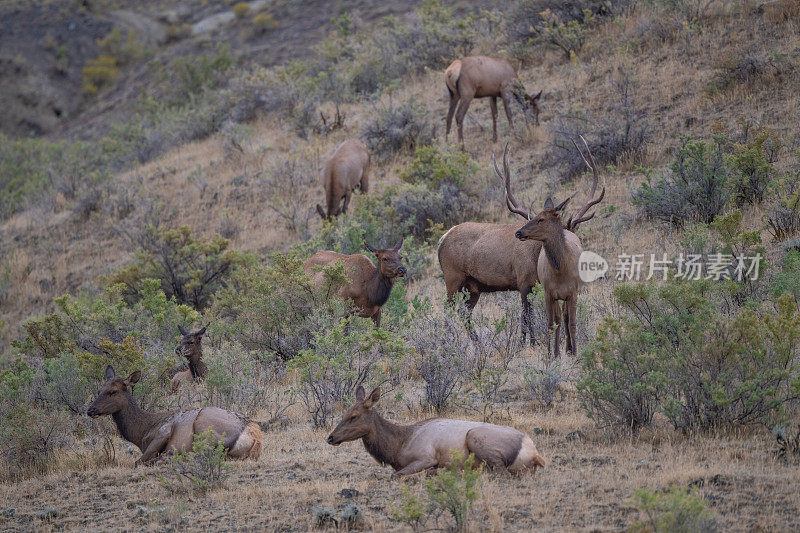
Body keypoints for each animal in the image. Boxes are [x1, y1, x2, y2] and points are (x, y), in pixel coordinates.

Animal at [88, 364, 264, 464]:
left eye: (113, 391)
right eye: (98, 390)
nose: (90, 410)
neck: (141, 431)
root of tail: (255, 437)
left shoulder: (164, 431)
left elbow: (138, 461)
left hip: (204, 425)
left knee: (202, 454)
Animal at [328, 384, 548, 476]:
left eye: (353, 416)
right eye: (343, 413)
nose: (330, 438)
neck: (397, 447)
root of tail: (535, 454)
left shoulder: (426, 457)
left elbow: (396, 475)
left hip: (475, 437)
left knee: (498, 472)